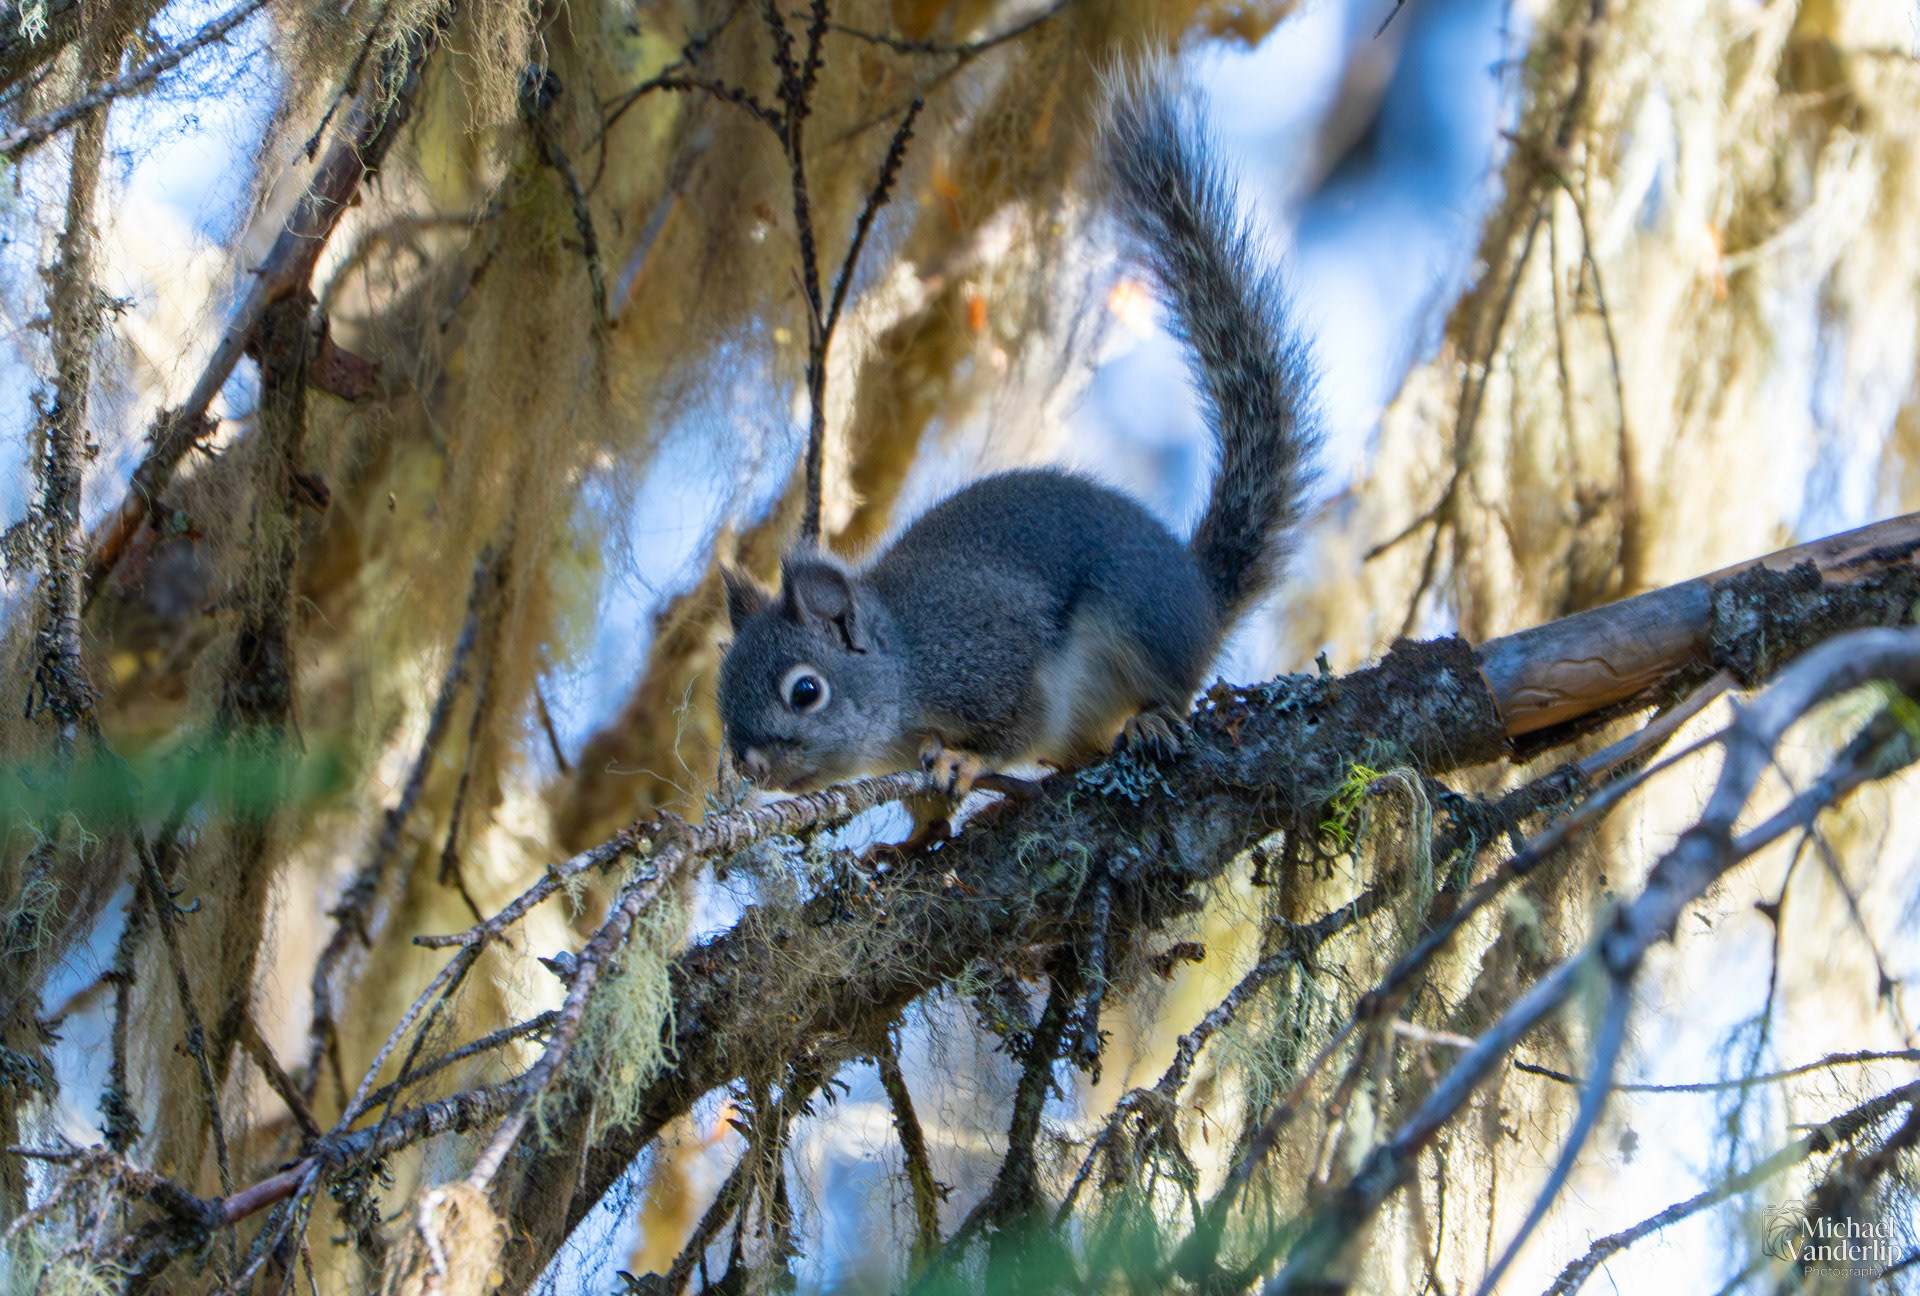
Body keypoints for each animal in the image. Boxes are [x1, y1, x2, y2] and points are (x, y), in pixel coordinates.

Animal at [716, 70, 1320, 806]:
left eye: (806, 691)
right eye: (724, 693)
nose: (752, 767)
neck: (907, 661)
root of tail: (1201, 595)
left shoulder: (993, 655)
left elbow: (1017, 723)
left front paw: (966, 760)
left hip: (1143, 621)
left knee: (1169, 691)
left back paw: (1150, 719)